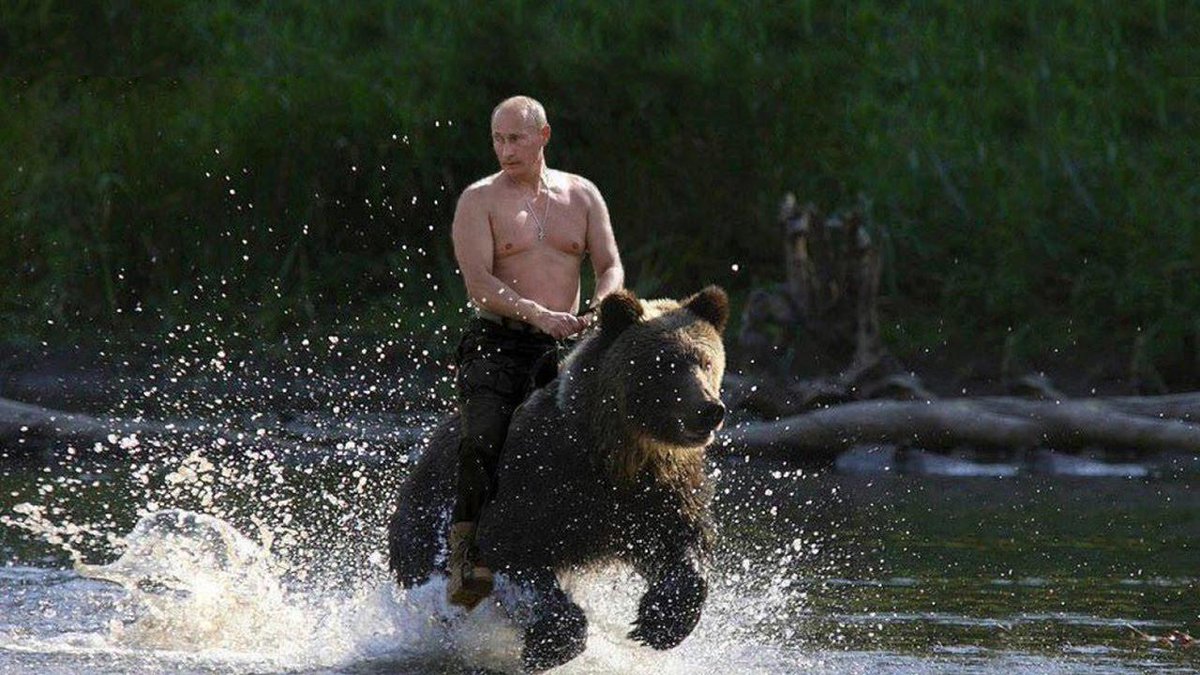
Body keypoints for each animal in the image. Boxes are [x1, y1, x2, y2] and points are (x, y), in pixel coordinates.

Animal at [388, 285, 729, 672]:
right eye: (665, 364)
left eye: (706, 361)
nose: (709, 409)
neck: (616, 452)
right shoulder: (539, 480)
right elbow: (512, 548)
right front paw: (550, 644)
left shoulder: (656, 491)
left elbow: (680, 542)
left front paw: (659, 622)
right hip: (428, 518)